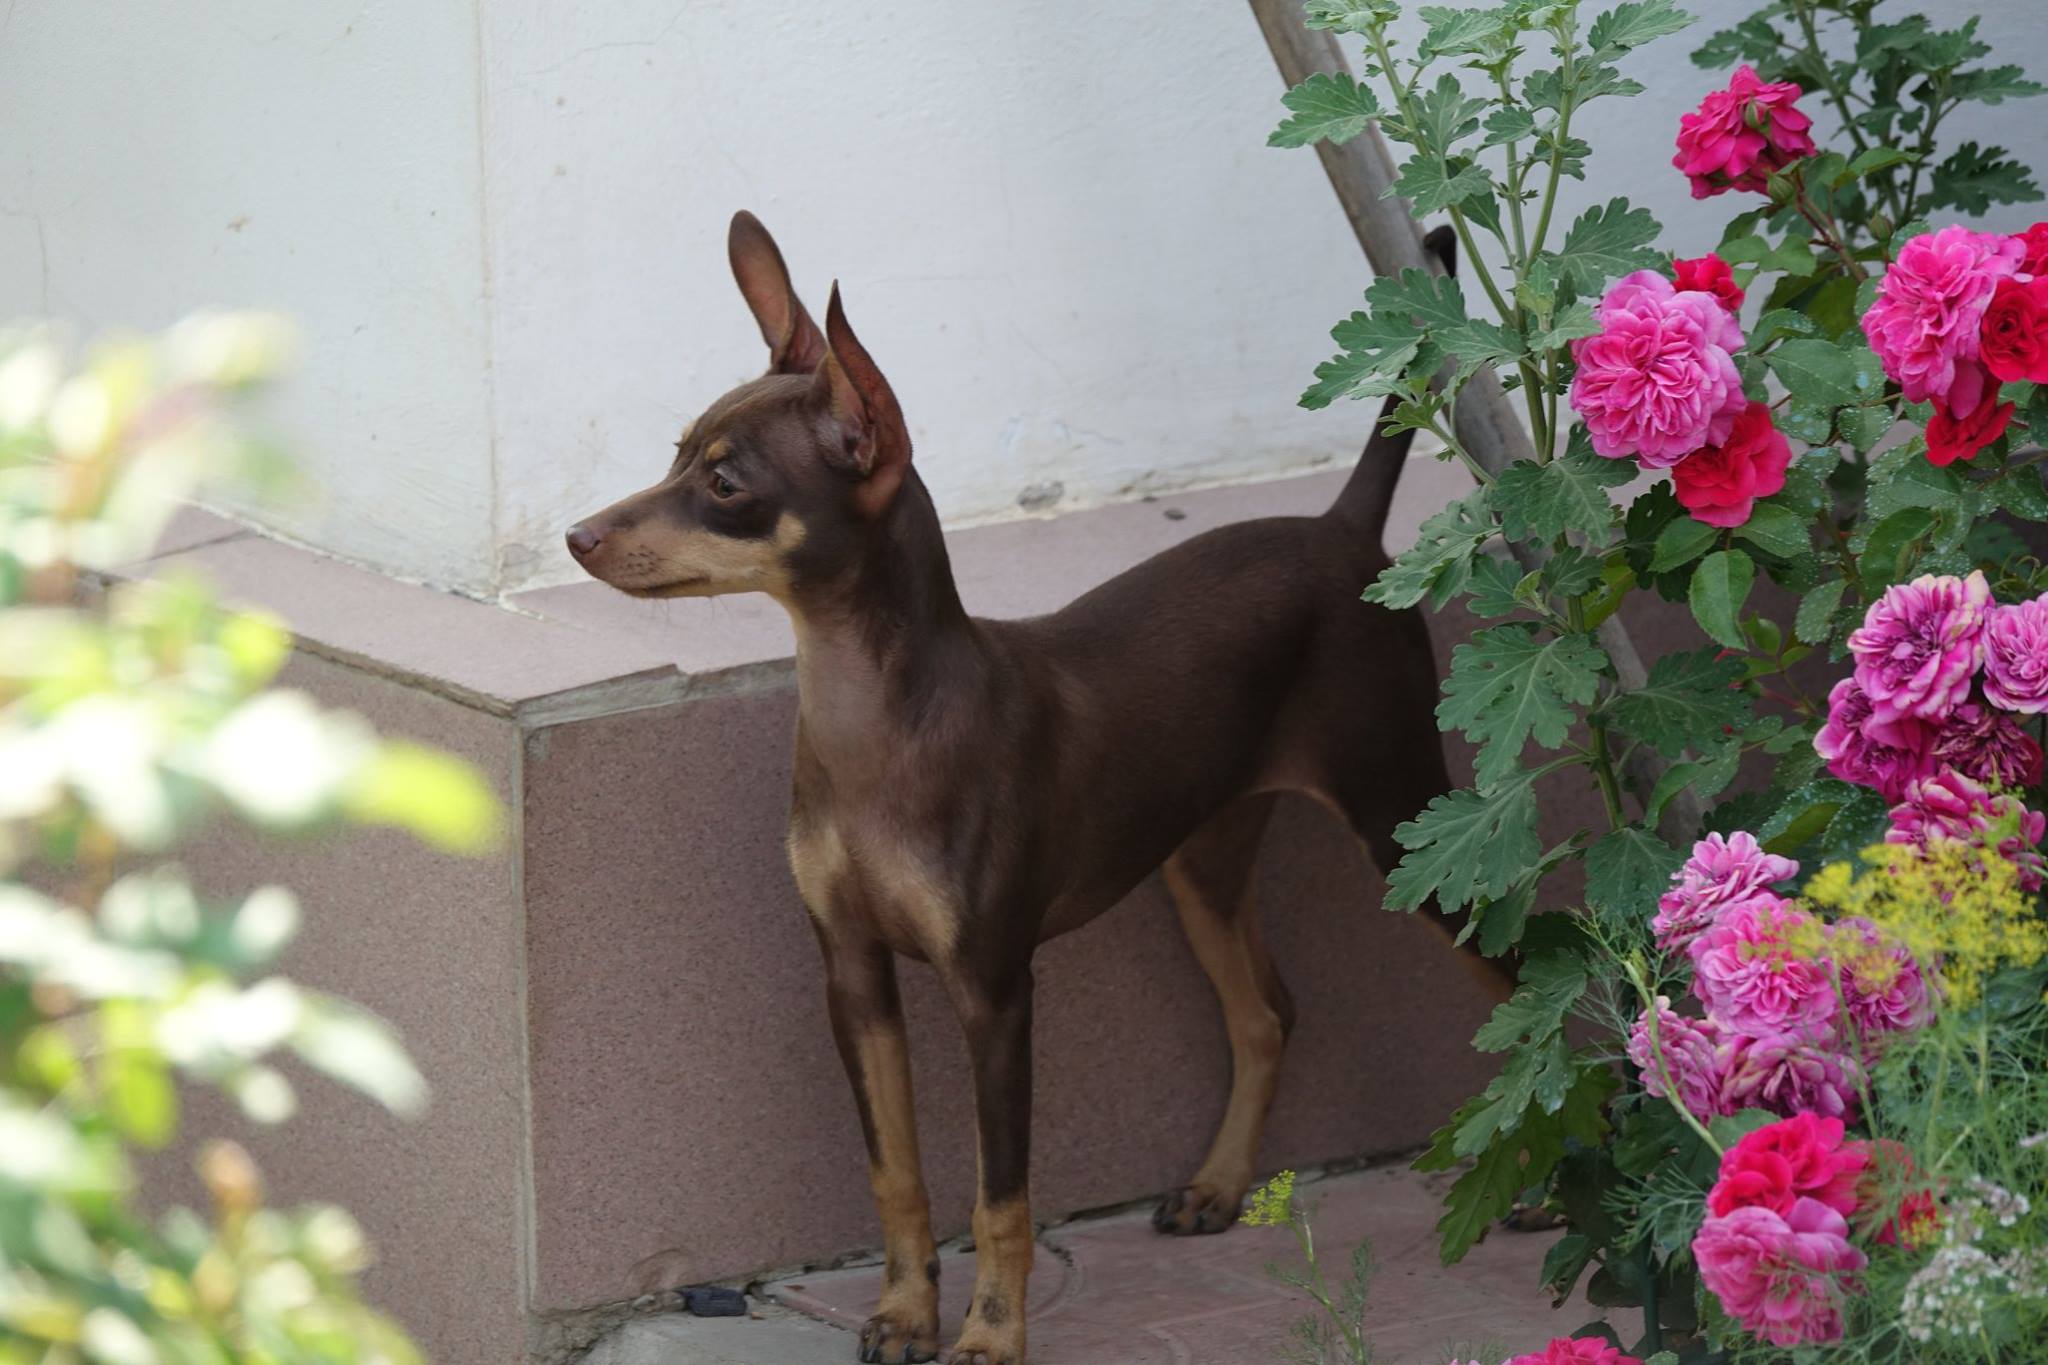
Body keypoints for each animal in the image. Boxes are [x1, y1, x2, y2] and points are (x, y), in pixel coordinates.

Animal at [569, 213, 1515, 1365]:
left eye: (723, 483)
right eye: (675, 455)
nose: (576, 537)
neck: (874, 720)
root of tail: (1345, 531)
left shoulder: (994, 990)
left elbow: (1000, 1198)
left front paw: (987, 1335)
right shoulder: (852, 974)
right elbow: (895, 1174)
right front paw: (904, 1313)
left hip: (1406, 832)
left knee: (1531, 983)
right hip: (1200, 859)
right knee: (1266, 1012)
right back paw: (1216, 1185)